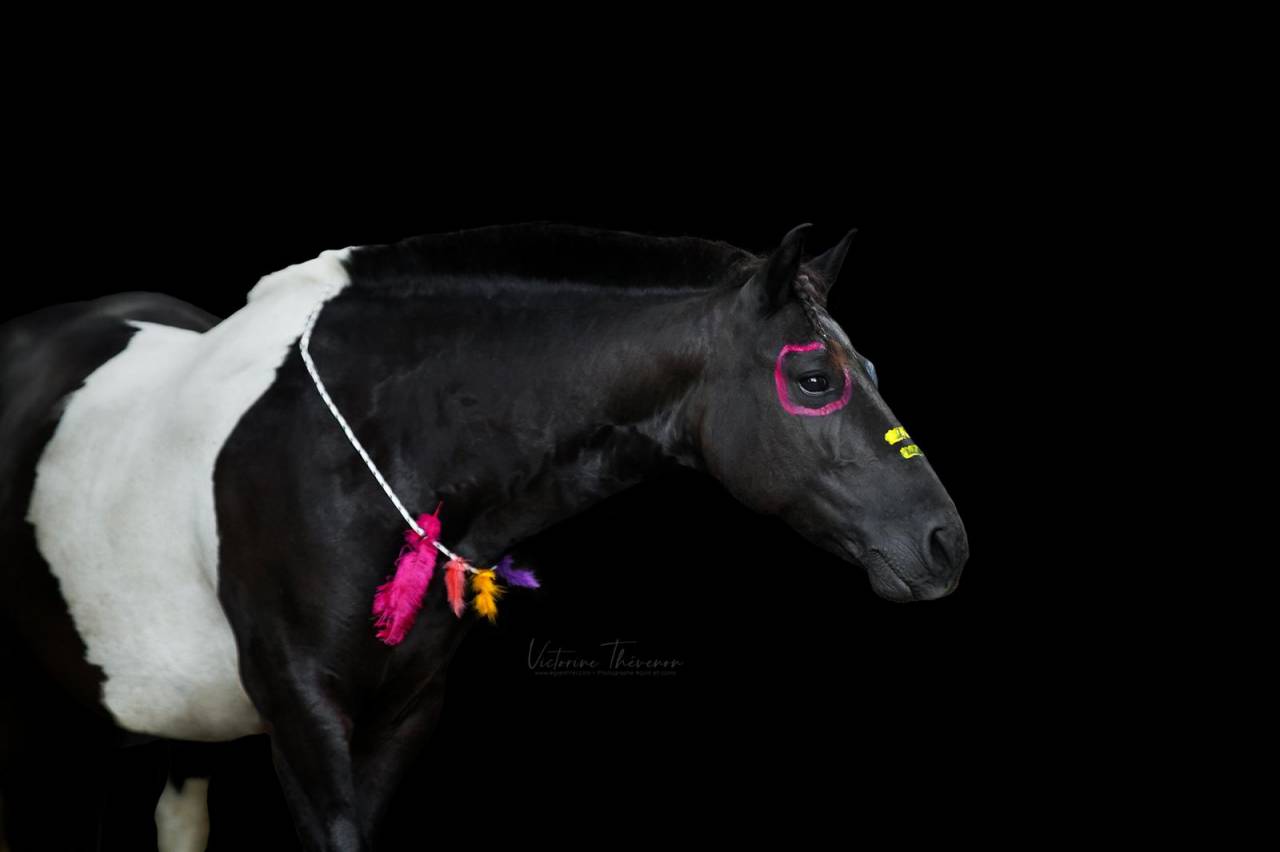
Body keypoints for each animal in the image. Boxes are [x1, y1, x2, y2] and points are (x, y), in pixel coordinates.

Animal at [0, 221, 968, 850]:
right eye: (813, 380)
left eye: (867, 365)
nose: (945, 544)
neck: (354, 445)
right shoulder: (302, 716)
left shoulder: (403, 716)